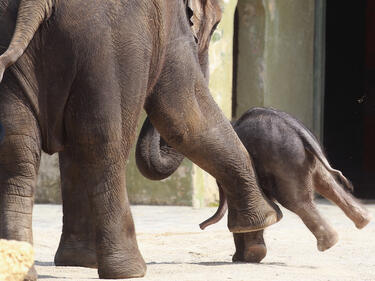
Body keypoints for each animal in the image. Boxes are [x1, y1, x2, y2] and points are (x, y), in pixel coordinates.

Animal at [0, 1, 280, 278]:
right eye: (216, 25)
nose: (203, 224)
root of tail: (36, 5)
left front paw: (78, 261)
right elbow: (185, 113)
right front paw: (262, 224)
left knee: (17, 151)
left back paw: (21, 267)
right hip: (104, 48)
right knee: (103, 143)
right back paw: (131, 270)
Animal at [201, 107, 372, 262]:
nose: (201, 226)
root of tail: (299, 131)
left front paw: (245, 256)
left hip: (285, 160)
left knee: (296, 200)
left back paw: (328, 243)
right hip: (302, 159)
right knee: (327, 184)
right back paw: (364, 221)